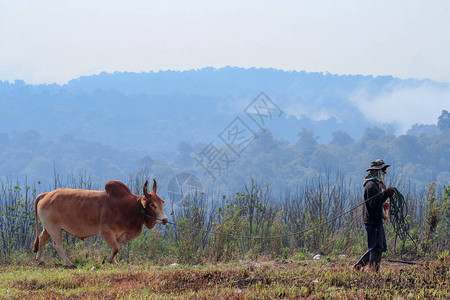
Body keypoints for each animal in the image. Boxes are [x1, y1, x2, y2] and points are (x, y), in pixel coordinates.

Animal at [32, 178, 167, 268]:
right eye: (152, 205)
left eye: (161, 202)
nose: (165, 219)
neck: (130, 207)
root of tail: (46, 195)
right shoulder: (106, 232)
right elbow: (116, 248)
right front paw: (107, 260)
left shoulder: (117, 235)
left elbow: (115, 249)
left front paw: (114, 261)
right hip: (54, 228)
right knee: (57, 245)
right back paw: (69, 263)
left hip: (48, 228)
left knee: (42, 239)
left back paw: (39, 260)